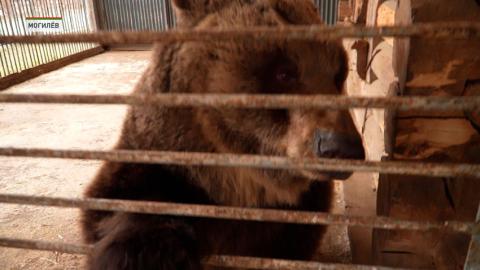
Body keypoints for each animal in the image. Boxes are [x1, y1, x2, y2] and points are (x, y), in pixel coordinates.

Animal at [81, 1, 364, 268]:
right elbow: (117, 202)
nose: (343, 147)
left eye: (338, 74)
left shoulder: (297, 212)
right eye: (284, 72)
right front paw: (149, 255)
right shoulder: (157, 155)